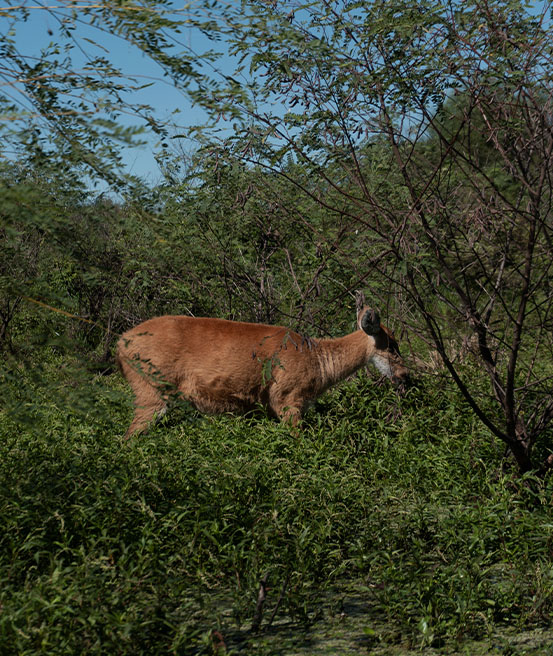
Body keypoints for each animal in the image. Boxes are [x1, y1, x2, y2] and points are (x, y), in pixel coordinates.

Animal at [116, 305, 410, 438]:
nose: (405, 376)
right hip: (150, 392)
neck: (317, 360)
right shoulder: (287, 398)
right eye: (392, 345)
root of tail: (121, 342)